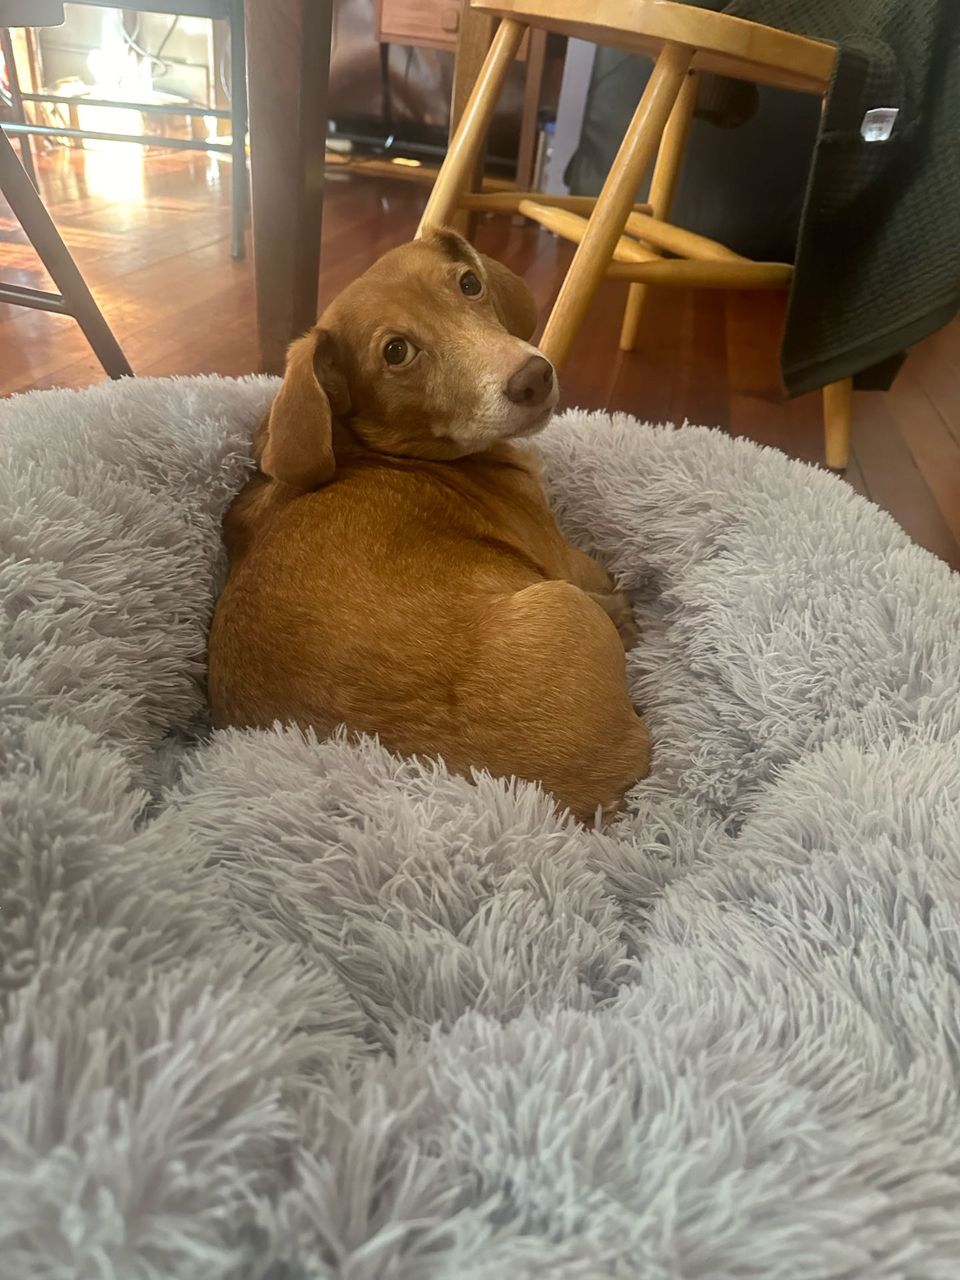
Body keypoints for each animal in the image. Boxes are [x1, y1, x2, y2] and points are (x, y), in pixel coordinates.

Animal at [207, 229, 650, 822]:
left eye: (469, 283)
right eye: (396, 352)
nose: (535, 378)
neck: (376, 450)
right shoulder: (561, 558)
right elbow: (596, 569)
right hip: (562, 604)